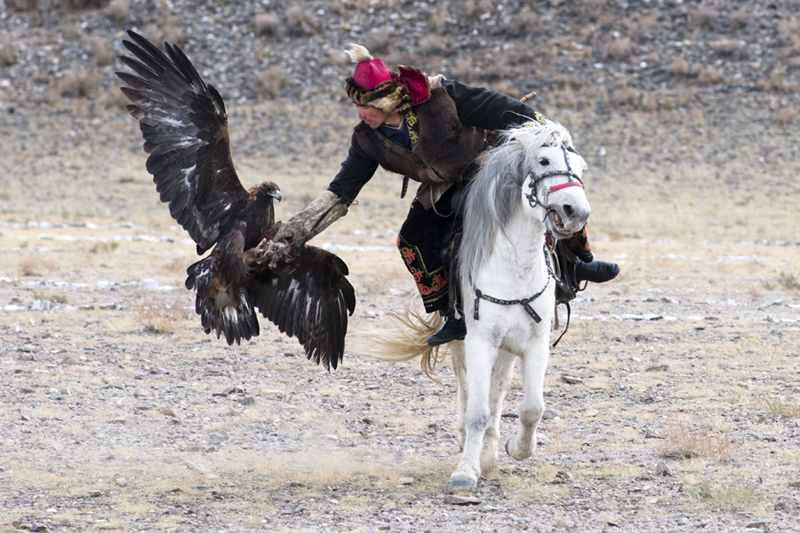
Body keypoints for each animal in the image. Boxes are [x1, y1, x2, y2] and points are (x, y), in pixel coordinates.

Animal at [371, 119, 591, 493]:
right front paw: (465, 472)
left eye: (580, 168)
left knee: (497, 390)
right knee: (467, 388)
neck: (515, 267)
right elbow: (476, 410)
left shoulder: (535, 342)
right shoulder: (479, 340)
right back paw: (470, 445)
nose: (576, 212)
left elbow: (532, 408)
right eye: (544, 161)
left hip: (507, 347)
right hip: (462, 341)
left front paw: (516, 449)